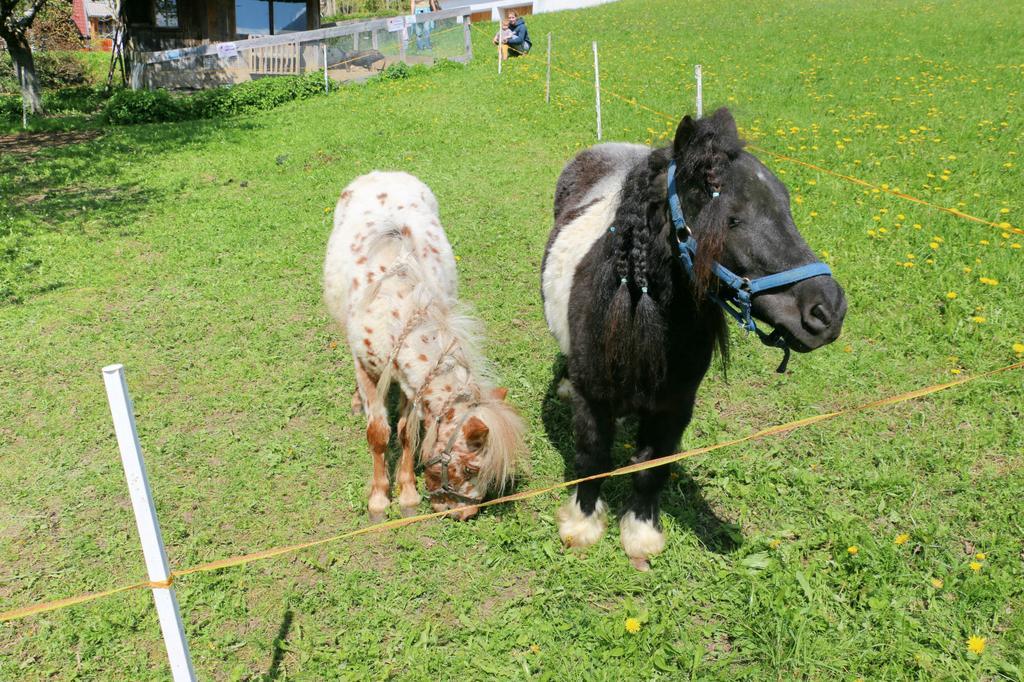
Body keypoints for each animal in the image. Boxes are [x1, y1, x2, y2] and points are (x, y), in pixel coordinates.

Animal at [323, 173, 524, 518]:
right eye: (471, 468)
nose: (464, 514)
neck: (394, 304)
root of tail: (384, 173)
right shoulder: (367, 369)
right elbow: (378, 434)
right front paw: (379, 499)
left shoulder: (410, 383)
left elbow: (406, 432)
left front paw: (407, 494)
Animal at [540, 109, 843, 569]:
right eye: (731, 218)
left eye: (786, 206)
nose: (828, 311)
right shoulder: (593, 397)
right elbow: (593, 457)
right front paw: (582, 525)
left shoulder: (675, 405)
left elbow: (653, 466)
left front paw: (641, 534)